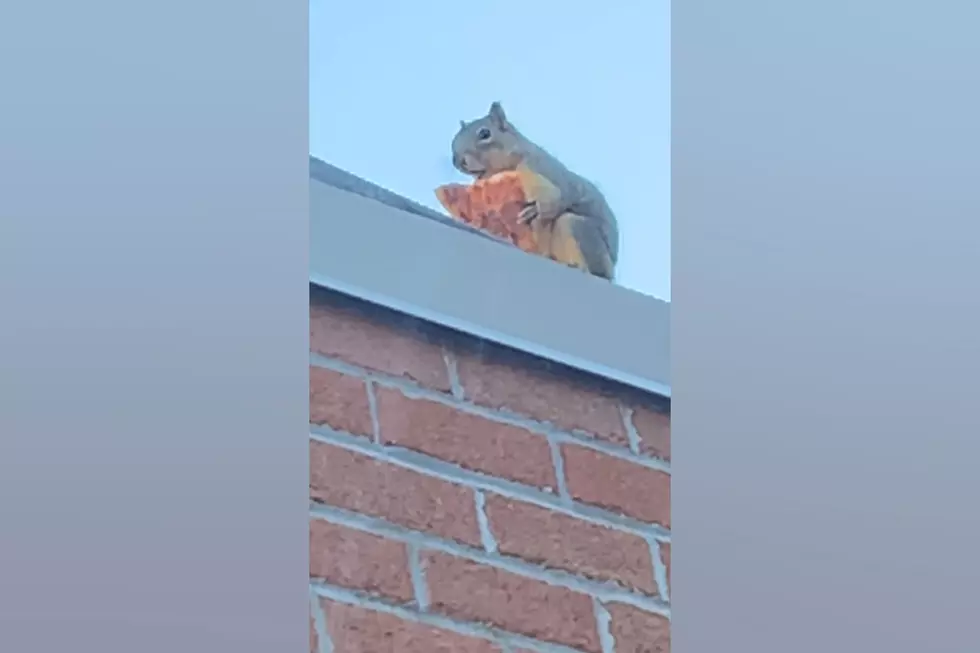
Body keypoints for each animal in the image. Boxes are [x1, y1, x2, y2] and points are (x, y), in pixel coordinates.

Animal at [452, 100, 620, 278]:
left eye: (485, 133)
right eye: (454, 141)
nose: (457, 161)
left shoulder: (536, 167)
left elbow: (556, 196)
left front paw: (536, 209)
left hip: (581, 232)